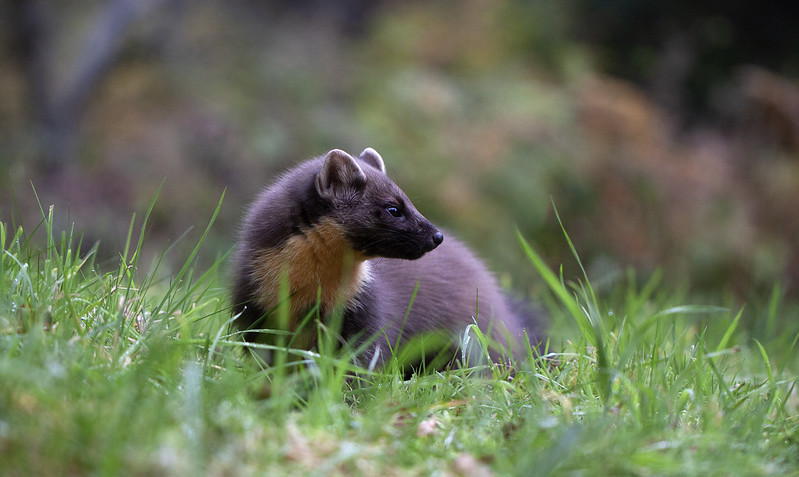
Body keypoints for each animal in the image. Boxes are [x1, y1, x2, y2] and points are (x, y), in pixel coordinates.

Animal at [231, 147, 540, 368]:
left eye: (410, 199)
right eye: (393, 208)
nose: (436, 235)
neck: (310, 295)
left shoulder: (367, 310)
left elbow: (363, 360)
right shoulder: (250, 304)